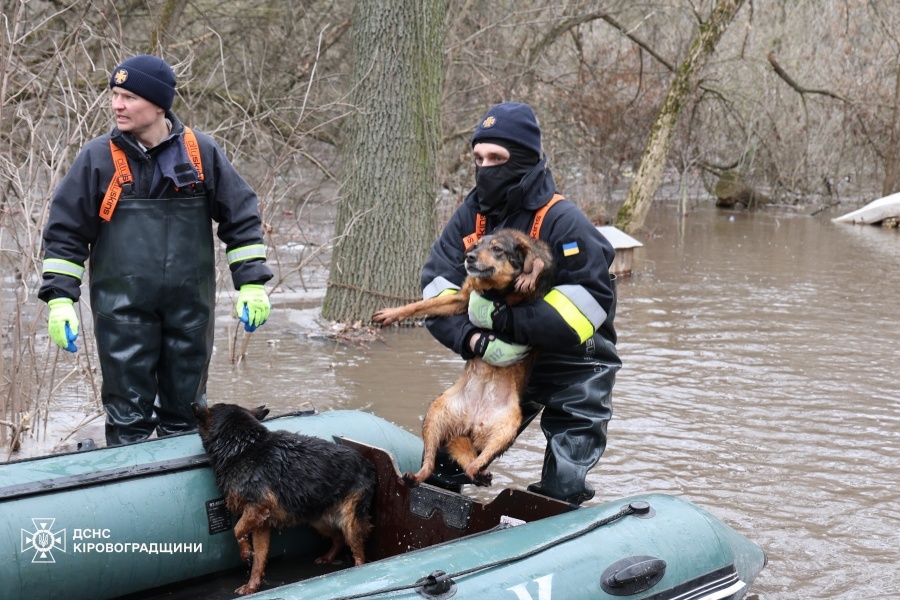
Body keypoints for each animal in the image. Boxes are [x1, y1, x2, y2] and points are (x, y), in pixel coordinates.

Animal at [192, 403, 376, 596]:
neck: (243, 447)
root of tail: (368, 464)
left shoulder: (258, 505)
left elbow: (237, 530)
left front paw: (245, 552)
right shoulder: (260, 521)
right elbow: (259, 558)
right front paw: (252, 586)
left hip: (350, 522)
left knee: (359, 552)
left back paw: (357, 569)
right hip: (319, 521)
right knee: (339, 537)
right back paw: (328, 558)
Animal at [373, 228, 555, 488]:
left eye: (497, 249)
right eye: (475, 245)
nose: (469, 257)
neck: (496, 290)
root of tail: (471, 424)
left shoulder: (532, 295)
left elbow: (537, 263)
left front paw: (530, 273)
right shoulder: (461, 298)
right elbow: (421, 305)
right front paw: (391, 314)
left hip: (507, 429)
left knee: (472, 465)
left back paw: (480, 472)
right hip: (435, 416)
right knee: (433, 465)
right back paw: (416, 476)